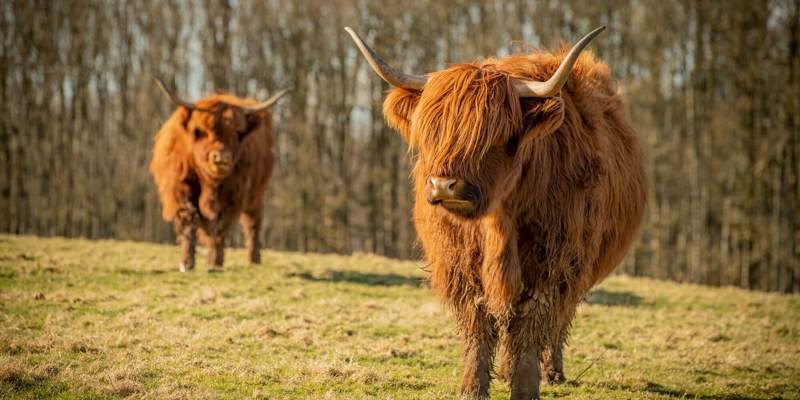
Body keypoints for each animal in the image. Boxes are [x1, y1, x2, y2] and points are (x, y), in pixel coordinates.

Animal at [149, 79, 287, 272]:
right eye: (200, 131)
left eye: (237, 132)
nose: (221, 157)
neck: (210, 183)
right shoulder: (180, 187)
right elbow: (189, 220)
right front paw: (187, 263)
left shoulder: (233, 196)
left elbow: (220, 227)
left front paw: (215, 261)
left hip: (256, 194)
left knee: (253, 223)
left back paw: (254, 259)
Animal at [346, 26, 646, 399]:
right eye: (433, 131)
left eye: (495, 135)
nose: (444, 185)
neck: (498, 222)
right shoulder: (461, 263)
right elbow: (479, 327)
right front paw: (472, 388)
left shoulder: (551, 265)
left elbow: (531, 329)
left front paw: (526, 387)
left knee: (558, 322)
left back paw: (553, 372)